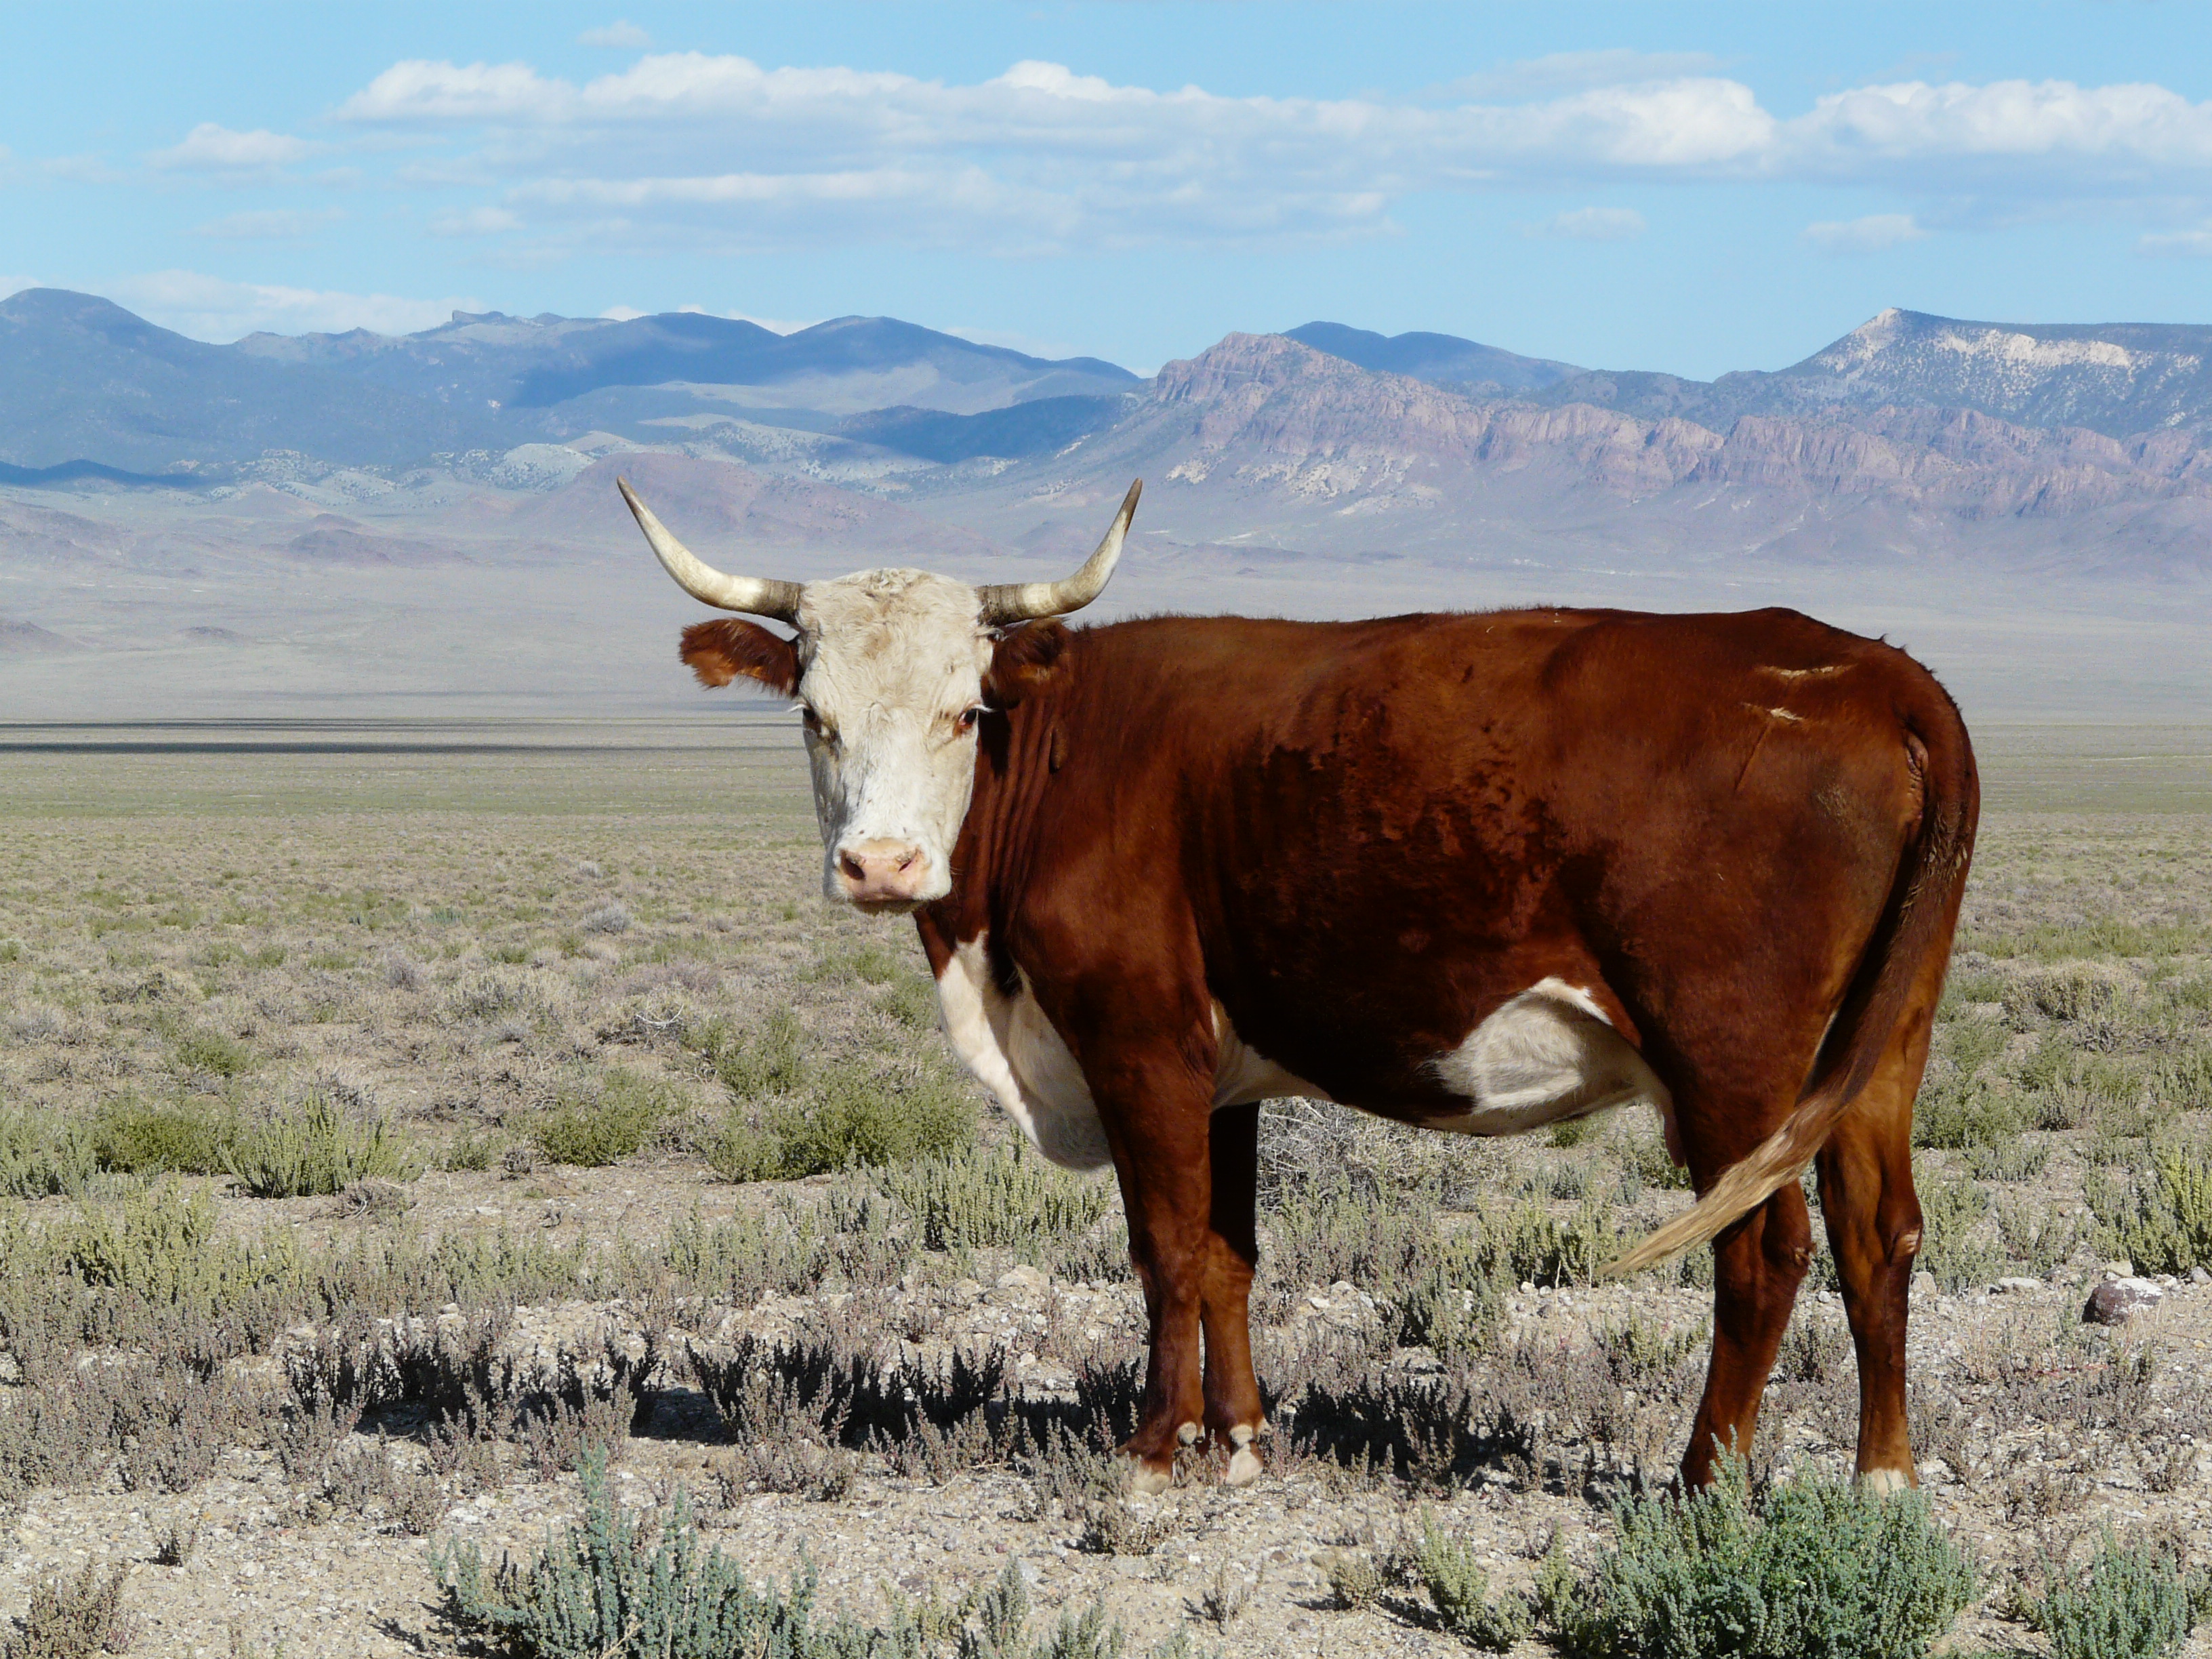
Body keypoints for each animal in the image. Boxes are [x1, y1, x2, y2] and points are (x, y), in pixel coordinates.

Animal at [619, 473, 1973, 1504]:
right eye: (815, 714)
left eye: (964, 710)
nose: (882, 864)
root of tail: (1872, 671)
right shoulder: (1222, 1070)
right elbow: (1229, 1252)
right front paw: (1240, 1437)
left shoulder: (1138, 1040)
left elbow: (1164, 1246)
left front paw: (1151, 1447)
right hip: (1878, 1048)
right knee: (1878, 1234)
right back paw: (1881, 1480)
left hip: (1729, 1057)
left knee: (1765, 1250)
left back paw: (1700, 1480)